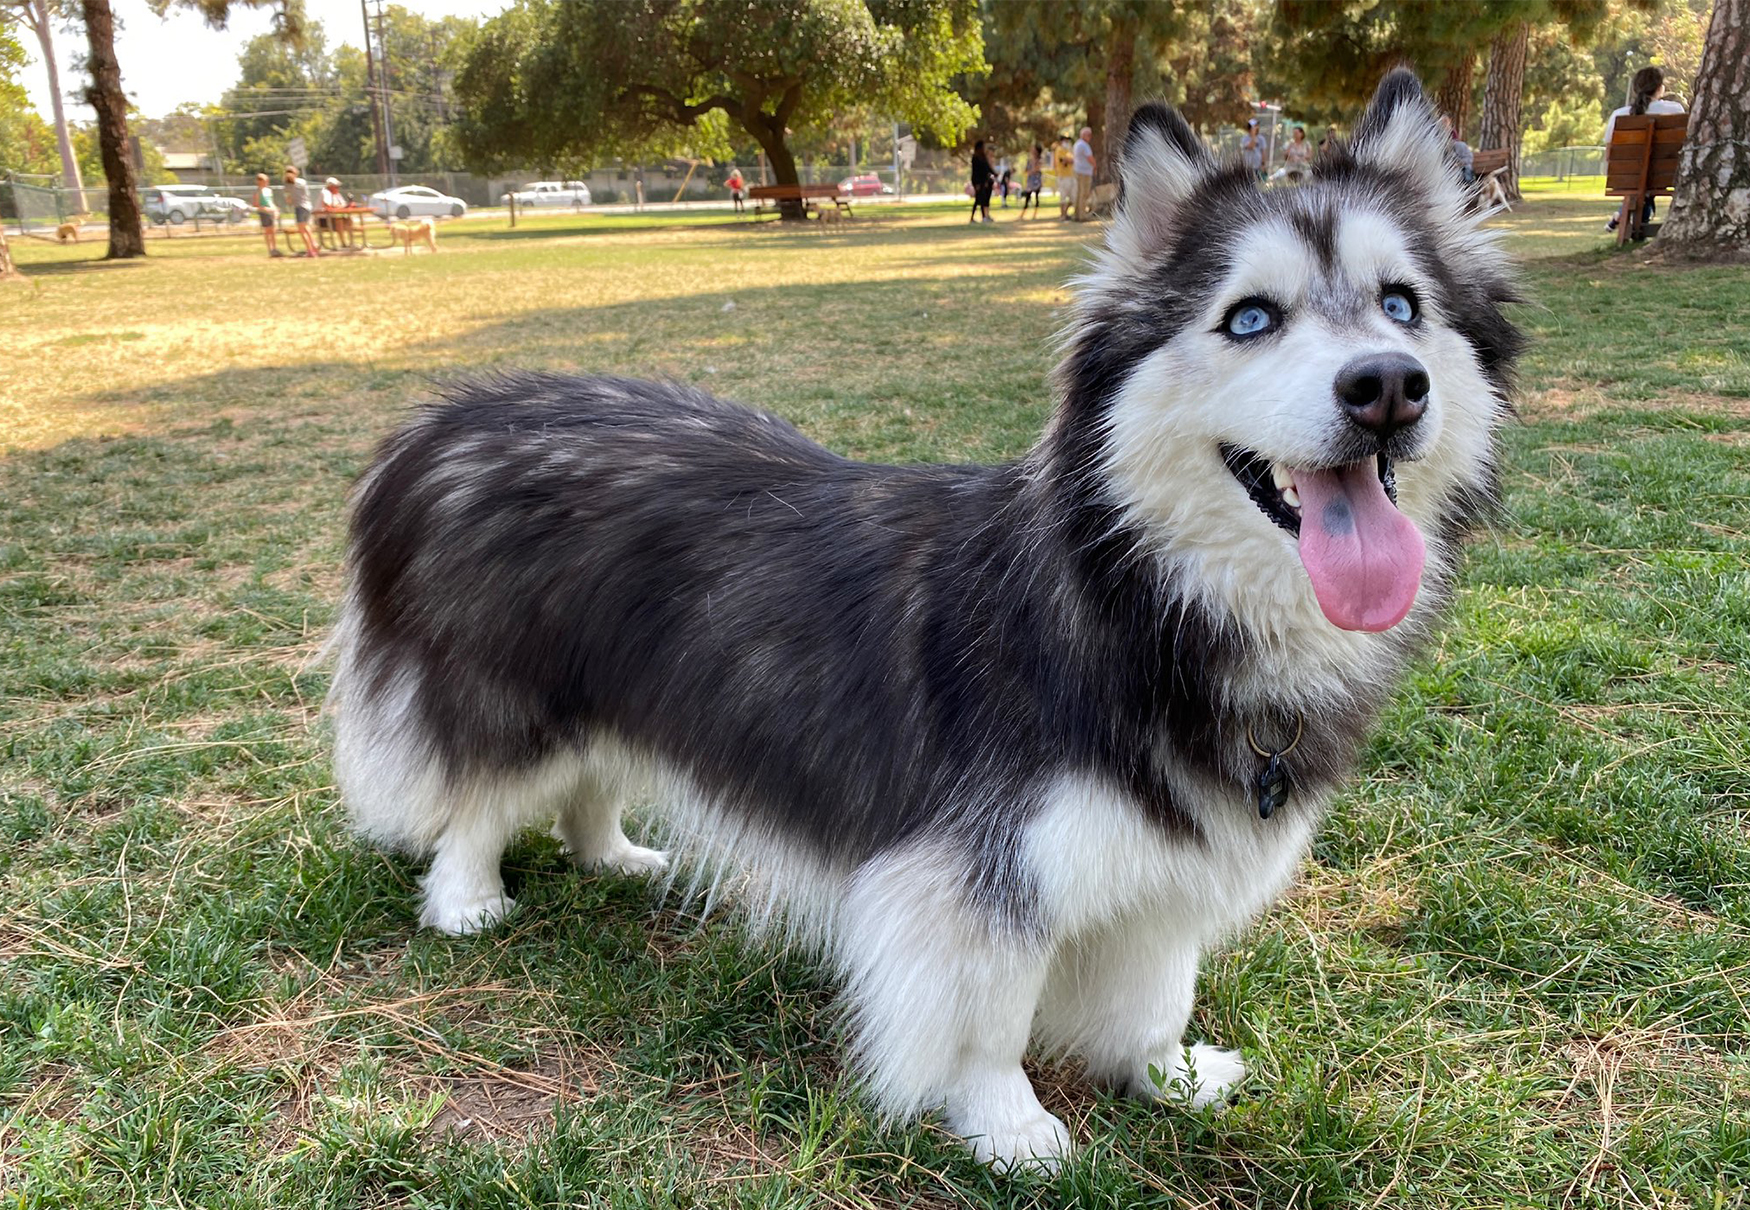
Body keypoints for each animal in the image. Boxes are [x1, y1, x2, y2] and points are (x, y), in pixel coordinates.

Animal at [325, 73, 1519, 1176]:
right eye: (1251, 318)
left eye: (1402, 305)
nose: (1387, 386)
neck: (1142, 597)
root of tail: (446, 418)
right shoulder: (978, 876)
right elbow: (990, 1018)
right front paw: (1009, 1127)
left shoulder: (1170, 862)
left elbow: (1156, 992)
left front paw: (1168, 1075)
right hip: (514, 692)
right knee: (480, 797)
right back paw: (468, 900)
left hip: (625, 684)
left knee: (587, 780)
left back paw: (615, 856)